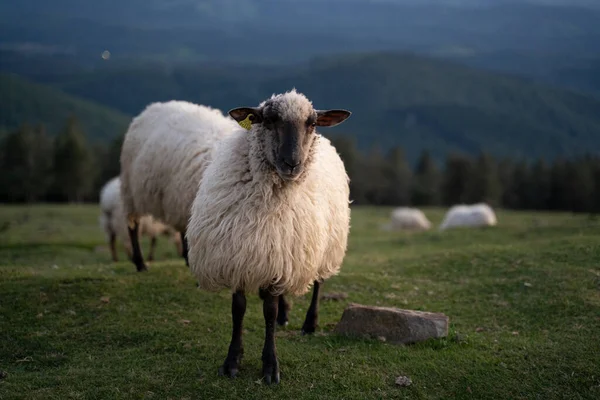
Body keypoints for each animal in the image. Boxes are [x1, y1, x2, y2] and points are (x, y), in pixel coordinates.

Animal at [188, 88, 352, 384]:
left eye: (312, 123)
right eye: (269, 119)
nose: (293, 163)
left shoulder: (276, 261)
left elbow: (269, 312)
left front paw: (270, 365)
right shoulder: (241, 256)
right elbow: (238, 309)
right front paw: (232, 360)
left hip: (325, 245)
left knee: (318, 282)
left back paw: (309, 323)